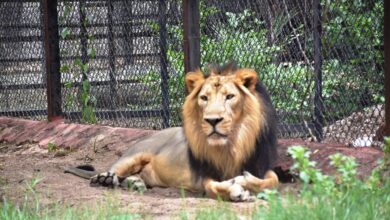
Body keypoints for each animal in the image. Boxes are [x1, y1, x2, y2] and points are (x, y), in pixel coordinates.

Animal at [67, 63, 280, 201]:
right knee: (111, 173)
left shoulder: (262, 166)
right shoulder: (204, 176)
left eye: (229, 97)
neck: (231, 145)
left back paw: (136, 184)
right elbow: (213, 187)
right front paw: (236, 190)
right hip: (131, 157)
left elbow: (272, 181)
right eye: (204, 98)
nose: (212, 120)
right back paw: (105, 179)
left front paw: (244, 181)